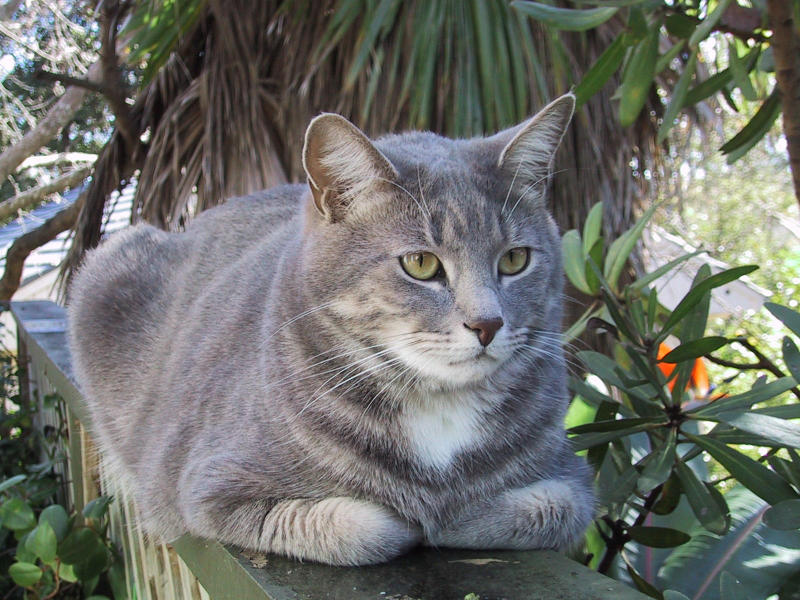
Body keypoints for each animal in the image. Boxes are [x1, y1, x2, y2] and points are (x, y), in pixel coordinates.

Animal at [69, 94, 592, 568]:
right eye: (421, 263)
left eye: (515, 259)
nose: (488, 324)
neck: (439, 407)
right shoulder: (208, 486)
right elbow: (361, 527)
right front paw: (416, 521)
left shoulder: (573, 480)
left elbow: (549, 508)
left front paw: (457, 515)